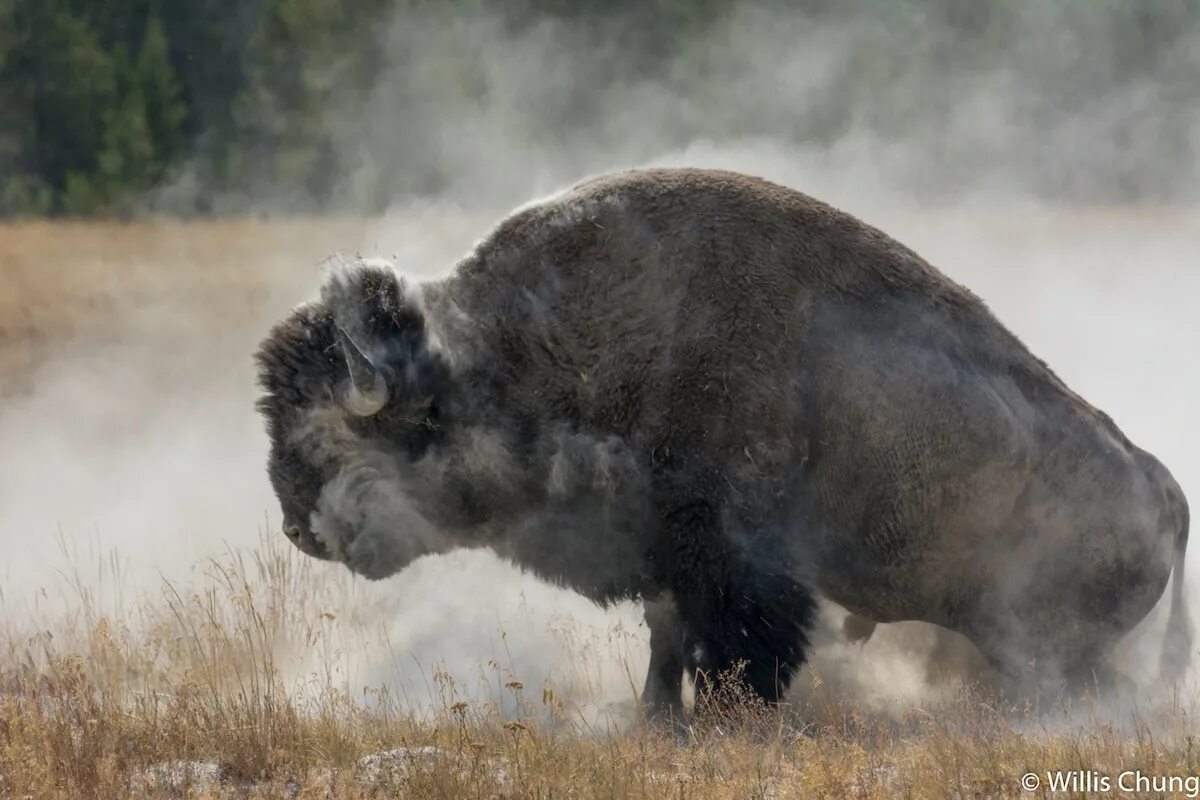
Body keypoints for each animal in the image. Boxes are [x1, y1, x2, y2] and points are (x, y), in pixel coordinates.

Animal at [255, 167, 1190, 719]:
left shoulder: (734, 565)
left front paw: (725, 726)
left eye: (330, 434)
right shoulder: (667, 558)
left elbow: (735, 651)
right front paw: (655, 723)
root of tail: (1165, 488)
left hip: (1051, 639)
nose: (299, 529)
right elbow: (667, 645)